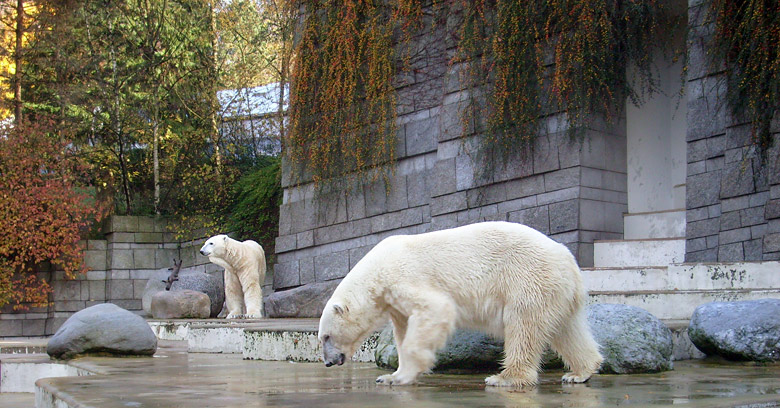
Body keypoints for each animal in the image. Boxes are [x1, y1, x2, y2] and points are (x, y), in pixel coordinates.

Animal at [316, 222, 604, 388]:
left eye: (326, 336)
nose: (328, 362)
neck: (377, 270)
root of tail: (567, 258)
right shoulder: (394, 302)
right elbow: (404, 329)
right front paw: (391, 376)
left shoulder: (404, 278)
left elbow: (436, 309)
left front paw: (408, 371)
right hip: (557, 291)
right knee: (566, 329)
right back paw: (579, 372)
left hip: (528, 278)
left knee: (523, 326)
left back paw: (505, 378)